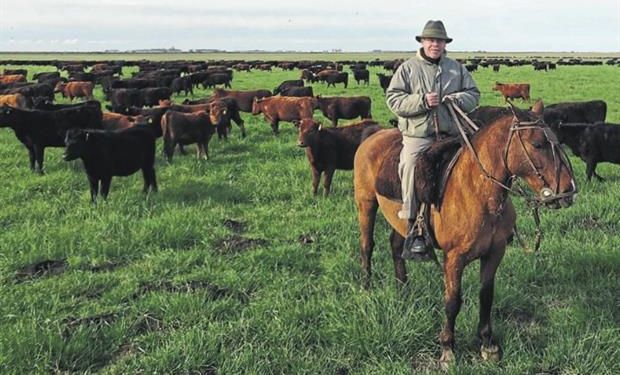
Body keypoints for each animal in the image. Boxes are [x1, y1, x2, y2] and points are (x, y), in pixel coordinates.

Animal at [354, 103, 576, 370]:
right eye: (537, 144)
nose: (568, 191)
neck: (477, 191)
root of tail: (373, 136)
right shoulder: (454, 259)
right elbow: (452, 301)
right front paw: (448, 349)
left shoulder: (494, 253)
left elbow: (486, 295)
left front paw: (487, 344)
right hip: (366, 204)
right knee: (367, 245)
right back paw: (366, 288)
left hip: (401, 220)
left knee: (397, 247)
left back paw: (403, 290)